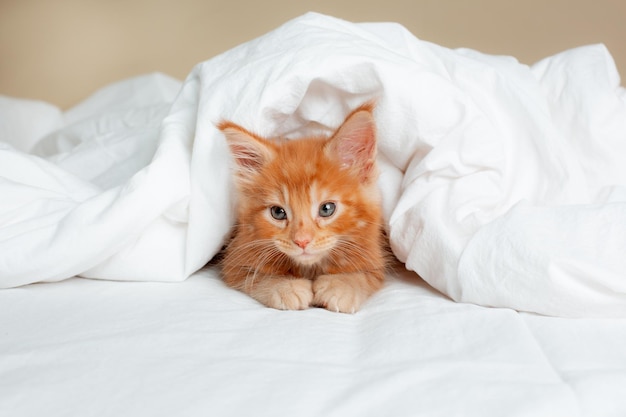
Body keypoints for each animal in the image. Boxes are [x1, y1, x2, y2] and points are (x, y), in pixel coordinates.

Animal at [218, 103, 386, 312]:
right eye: (278, 212)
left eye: (326, 209)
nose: (302, 241)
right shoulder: (236, 258)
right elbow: (256, 278)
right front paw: (285, 287)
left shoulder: (373, 256)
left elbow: (364, 276)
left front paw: (342, 286)